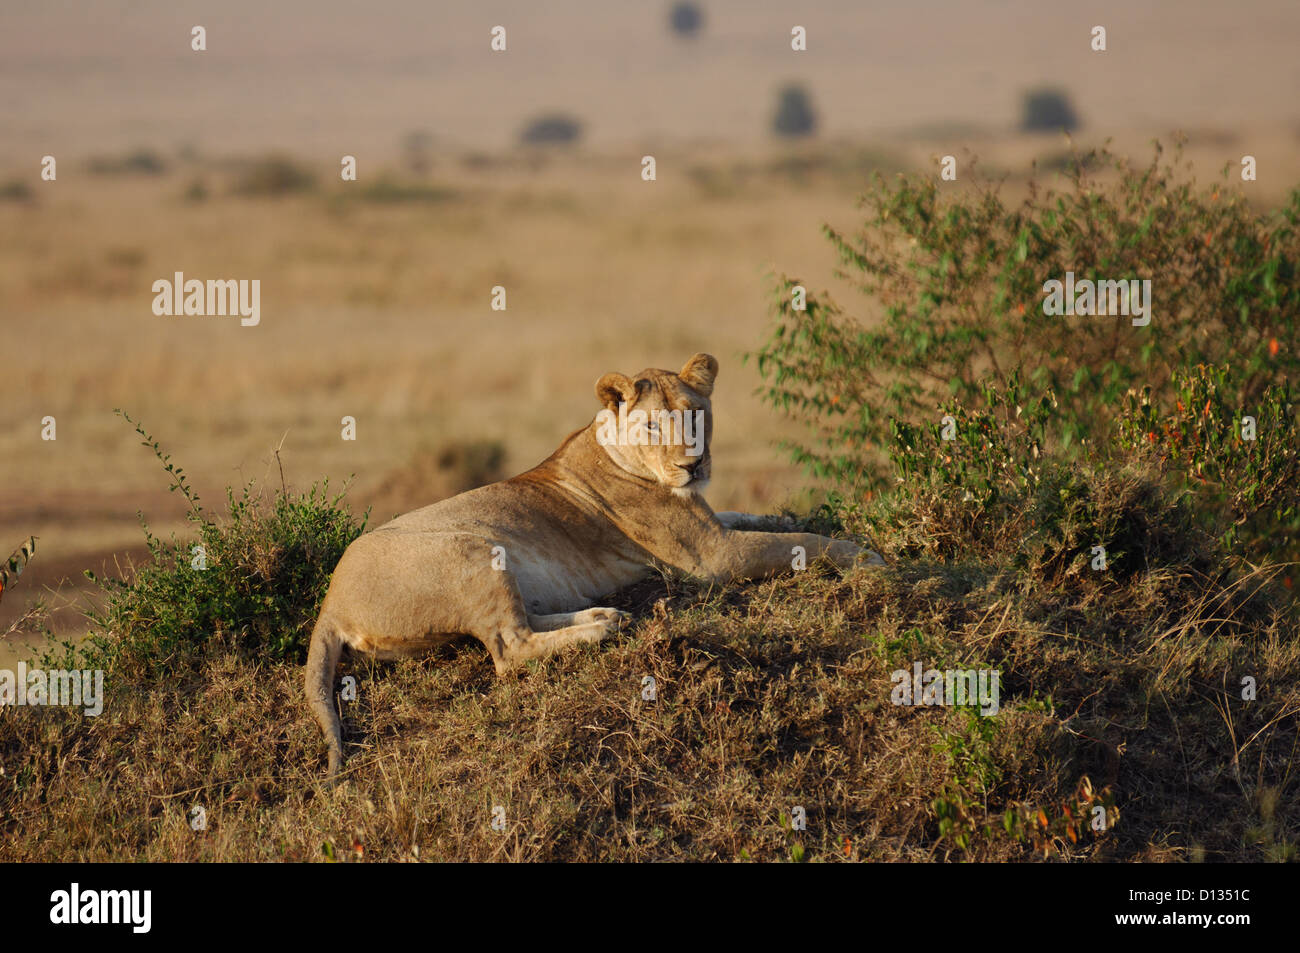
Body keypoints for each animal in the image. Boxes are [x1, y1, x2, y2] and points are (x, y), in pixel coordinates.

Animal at [305, 353, 882, 778]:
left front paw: (801, 513)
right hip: (472, 547)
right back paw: (601, 630)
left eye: (696, 413)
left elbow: (764, 519)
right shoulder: (711, 555)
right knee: (509, 650)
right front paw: (864, 556)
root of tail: (329, 605)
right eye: (652, 425)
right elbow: (794, 543)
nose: (693, 464)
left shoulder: (714, 525)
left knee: (523, 624)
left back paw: (605, 616)